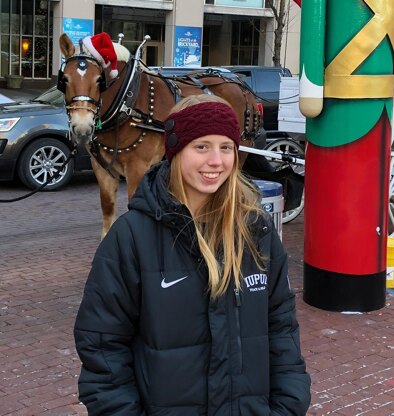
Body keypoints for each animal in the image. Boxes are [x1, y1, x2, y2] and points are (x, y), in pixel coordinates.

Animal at [58, 32, 264, 237]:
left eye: (99, 80)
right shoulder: (102, 169)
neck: (127, 101)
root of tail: (240, 84)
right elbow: (108, 213)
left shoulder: (137, 167)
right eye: (65, 79)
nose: (82, 127)